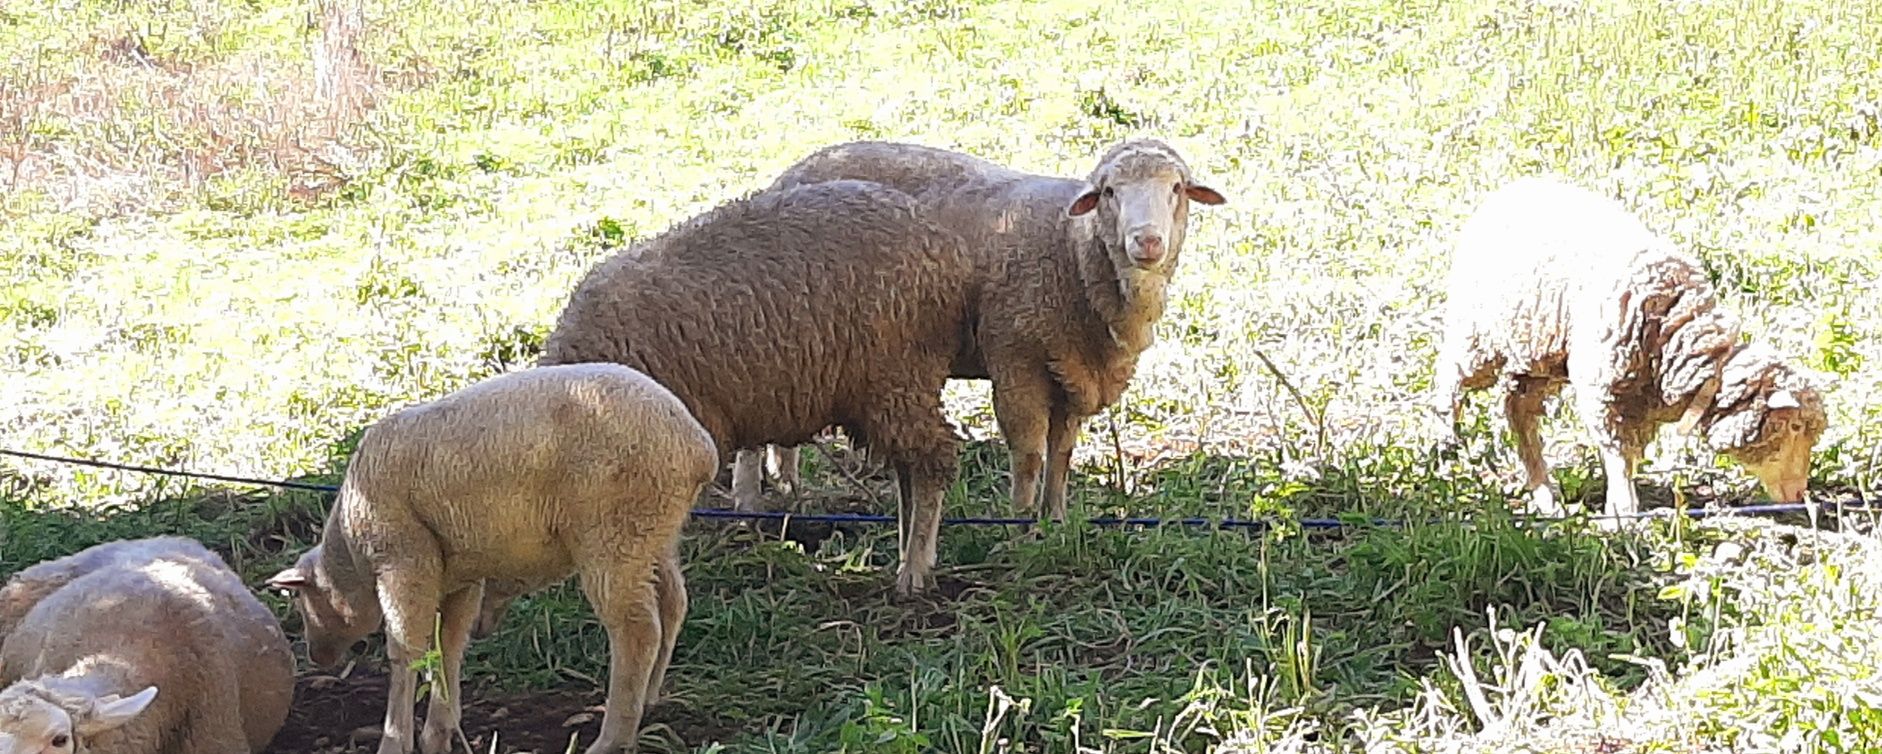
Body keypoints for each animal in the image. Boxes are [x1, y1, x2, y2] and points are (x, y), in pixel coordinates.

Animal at [257, 359, 711, 752]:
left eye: (301, 601)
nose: (317, 657)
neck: (351, 558)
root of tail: (698, 447)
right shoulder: (457, 577)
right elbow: (448, 647)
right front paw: (438, 733)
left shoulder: (403, 561)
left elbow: (406, 651)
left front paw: (394, 741)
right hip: (654, 533)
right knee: (673, 604)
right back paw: (649, 698)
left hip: (613, 535)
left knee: (637, 631)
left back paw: (611, 738)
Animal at [718, 138, 1219, 518]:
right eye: (1111, 191)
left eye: (1177, 188)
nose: (1147, 241)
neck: (1071, 246)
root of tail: (787, 177)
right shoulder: (1015, 357)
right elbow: (1030, 456)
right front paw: (1021, 525)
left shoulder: (1072, 370)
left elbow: (1061, 456)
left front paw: (1055, 519)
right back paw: (748, 499)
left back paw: (789, 485)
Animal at [1430, 174, 1829, 518]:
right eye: (1795, 428)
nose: (1799, 495)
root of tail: (1510, 189)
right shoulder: (1603, 393)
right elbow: (1618, 457)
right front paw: (1623, 513)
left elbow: (1631, 457)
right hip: (1479, 333)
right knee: (1450, 376)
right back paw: (1445, 442)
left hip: (1539, 354)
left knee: (1518, 411)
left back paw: (1546, 496)